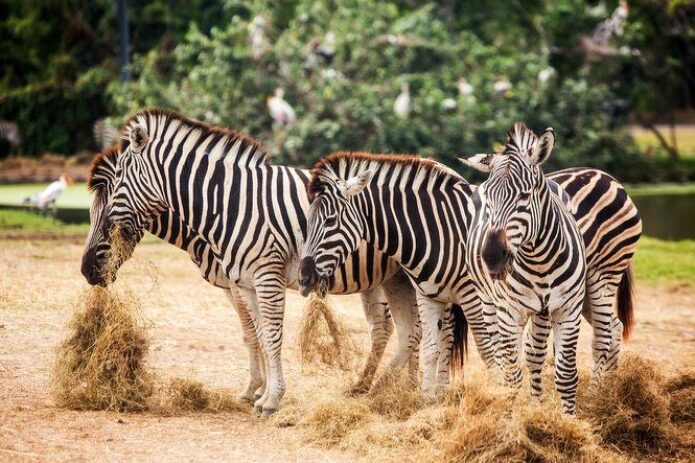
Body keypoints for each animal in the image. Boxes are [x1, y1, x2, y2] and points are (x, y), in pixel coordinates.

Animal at [85, 109, 424, 416]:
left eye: (104, 217)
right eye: (92, 214)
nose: (86, 271)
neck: (227, 204)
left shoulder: (263, 277)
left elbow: (268, 336)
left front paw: (267, 397)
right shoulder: (241, 281)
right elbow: (257, 335)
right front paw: (259, 393)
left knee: (408, 328)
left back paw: (402, 390)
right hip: (387, 278)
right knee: (391, 329)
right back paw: (387, 388)